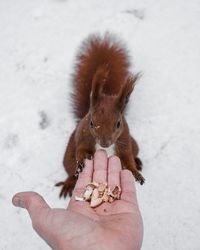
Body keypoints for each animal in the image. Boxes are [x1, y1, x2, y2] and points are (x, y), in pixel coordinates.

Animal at [55, 33, 145, 197]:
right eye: (91, 123)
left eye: (118, 123)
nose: (104, 144)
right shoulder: (83, 137)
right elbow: (81, 151)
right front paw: (81, 162)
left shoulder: (124, 141)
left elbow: (128, 159)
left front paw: (136, 173)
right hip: (67, 157)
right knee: (70, 170)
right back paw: (69, 182)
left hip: (134, 143)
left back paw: (138, 162)